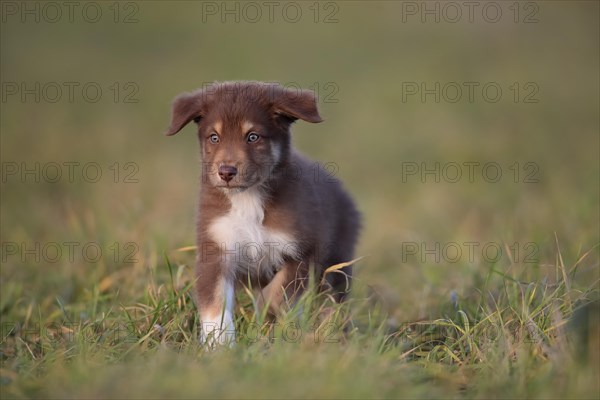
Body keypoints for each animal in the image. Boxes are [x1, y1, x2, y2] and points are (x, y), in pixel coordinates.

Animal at [165, 82, 360, 346]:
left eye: (253, 136)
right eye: (214, 137)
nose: (226, 172)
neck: (248, 199)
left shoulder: (303, 251)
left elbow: (276, 294)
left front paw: (264, 320)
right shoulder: (216, 248)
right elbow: (215, 302)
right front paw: (219, 344)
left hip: (337, 263)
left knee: (333, 302)